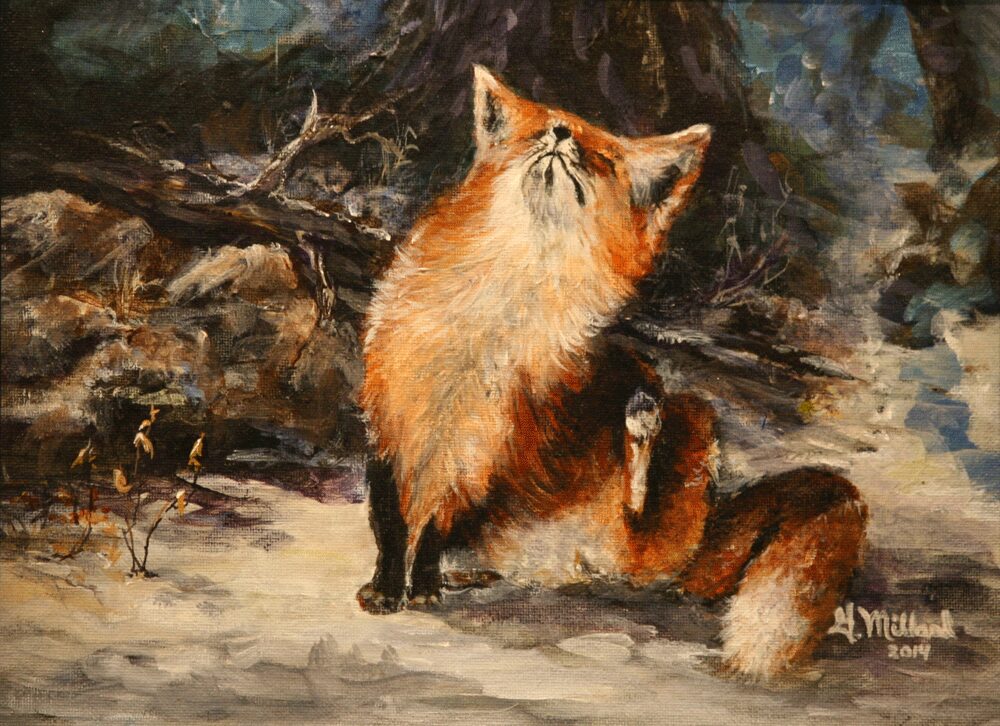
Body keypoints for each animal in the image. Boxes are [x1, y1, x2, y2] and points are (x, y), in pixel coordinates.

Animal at [357, 65, 867, 680]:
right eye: (535, 132)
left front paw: (424, 585)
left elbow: (433, 530)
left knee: (646, 531)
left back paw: (641, 431)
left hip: (692, 424)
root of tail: (570, 564)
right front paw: (388, 589)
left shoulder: (486, 453)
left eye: (597, 153)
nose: (559, 133)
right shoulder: (390, 420)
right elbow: (390, 523)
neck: (489, 324)